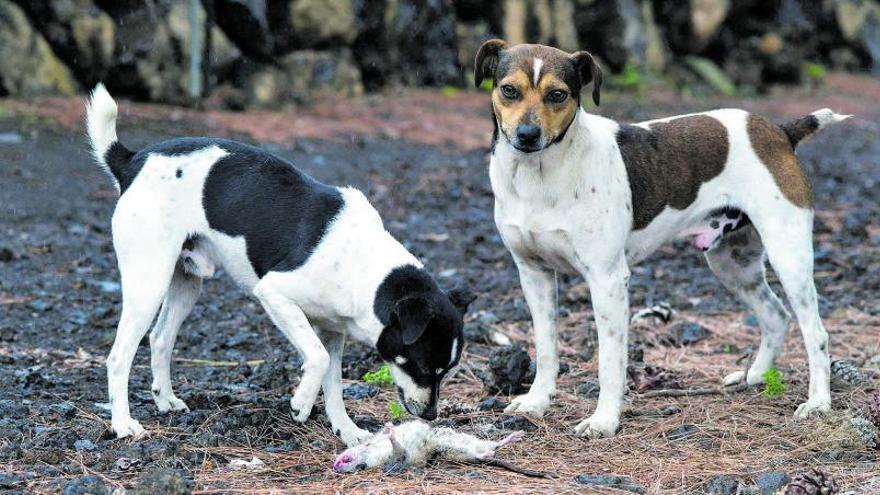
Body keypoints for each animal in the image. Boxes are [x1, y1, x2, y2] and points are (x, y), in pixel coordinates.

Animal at [84, 84, 474, 446]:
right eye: (423, 367)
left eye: (447, 371)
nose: (432, 415)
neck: (364, 266)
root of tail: (132, 161)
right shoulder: (274, 293)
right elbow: (317, 358)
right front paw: (300, 403)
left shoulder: (333, 330)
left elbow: (333, 383)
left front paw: (346, 431)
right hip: (149, 281)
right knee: (119, 356)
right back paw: (123, 424)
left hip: (186, 282)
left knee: (161, 337)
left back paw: (165, 401)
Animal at [478, 40, 848, 440]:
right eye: (509, 90)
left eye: (557, 94)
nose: (527, 134)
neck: (540, 176)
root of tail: (779, 132)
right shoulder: (535, 275)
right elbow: (546, 349)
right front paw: (537, 402)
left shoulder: (607, 280)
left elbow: (611, 361)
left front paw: (605, 420)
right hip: (733, 265)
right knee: (775, 315)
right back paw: (754, 376)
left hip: (788, 257)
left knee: (816, 333)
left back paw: (818, 403)